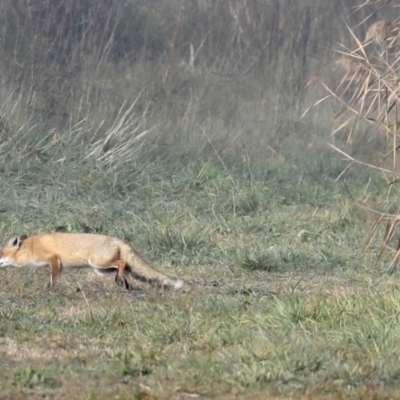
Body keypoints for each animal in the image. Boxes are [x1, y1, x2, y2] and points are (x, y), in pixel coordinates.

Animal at [0, 231, 184, 290]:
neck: (29, 248)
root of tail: (119, 240)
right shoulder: (59, 264)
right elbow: (53, 278)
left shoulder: (53, 258)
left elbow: (54, 278)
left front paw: (53, 291)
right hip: (101, 270)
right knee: (125, 269)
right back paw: (125, 284)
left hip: (98, 264)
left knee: (122, 264)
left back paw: (122, 281)